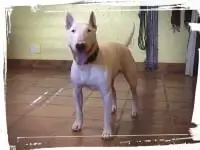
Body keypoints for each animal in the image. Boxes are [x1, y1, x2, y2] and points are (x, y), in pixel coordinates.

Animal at [65, 11, 138, 139]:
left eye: (89, 30)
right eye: (73, 30)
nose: (80, 45)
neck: (87, 64)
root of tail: (123, 46)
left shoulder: (105, 92)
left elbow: (106, 115)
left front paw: (107, 132)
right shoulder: (77, 90)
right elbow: (79, 110)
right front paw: (78, 124)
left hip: (131, 78)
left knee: (134, 94)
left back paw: (134, 111)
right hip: (111, 80)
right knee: (114, 91)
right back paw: (113, 107)